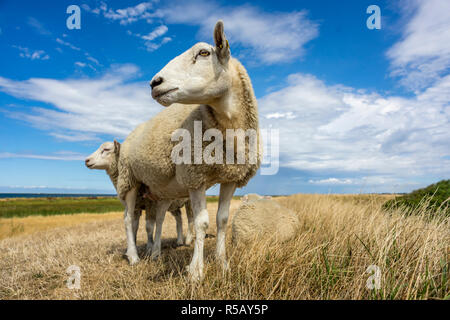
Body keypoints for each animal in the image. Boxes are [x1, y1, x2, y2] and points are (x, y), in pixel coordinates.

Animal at [118, 20, 262, 280]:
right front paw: (196, 271)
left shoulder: (231, 178)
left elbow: (222, 220)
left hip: (160, 189)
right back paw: (133, 256)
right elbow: (201, 223)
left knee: (158, 218)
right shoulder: (195, 176)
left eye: (204, 53)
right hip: (130, 180)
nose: (154, 83)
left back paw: (155, 253)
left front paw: (223, 264)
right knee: (127, 220)